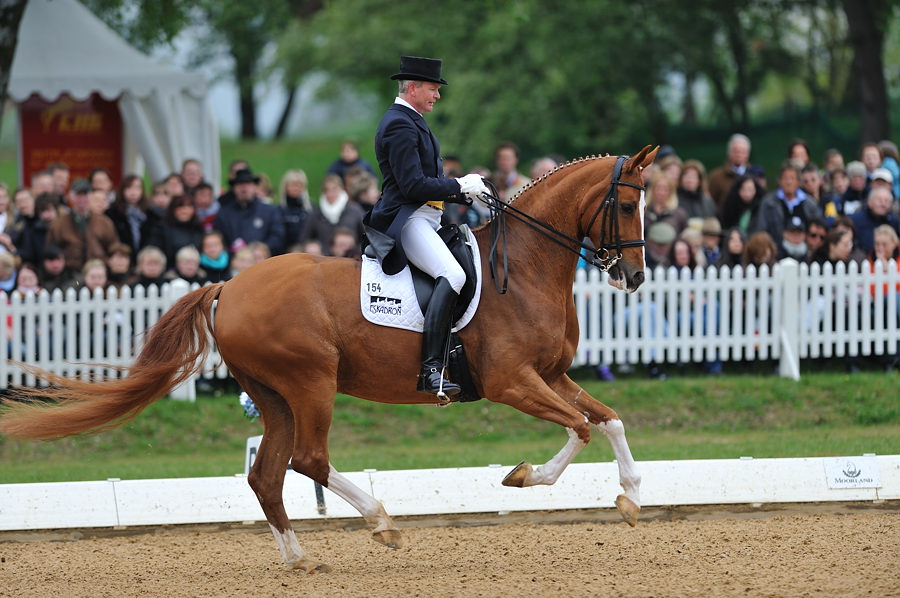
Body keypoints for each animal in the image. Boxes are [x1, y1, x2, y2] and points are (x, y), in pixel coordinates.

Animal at [0, 145, 657, 573]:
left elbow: (610, 420)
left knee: (267, 474)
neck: (520, 270)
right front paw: (526, 476)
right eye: (627, 207)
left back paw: (298, 558)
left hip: (273, 397)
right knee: (309, 460)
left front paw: (630, 498)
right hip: (311, 382)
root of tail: (228, 286)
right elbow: (578, 429)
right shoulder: (512, 382)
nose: (634, 276)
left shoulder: (551, 375)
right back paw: (381, 521)